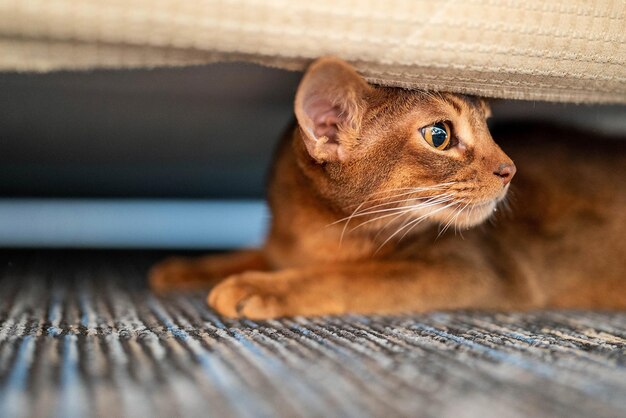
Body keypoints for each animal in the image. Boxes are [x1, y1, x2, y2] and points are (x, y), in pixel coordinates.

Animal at [150, 54, 624, 316]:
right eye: (439, 135)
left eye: (489, 126)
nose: (510, 169)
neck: (316, 234)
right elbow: (256, 252)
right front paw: (187, 268)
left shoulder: (473, 270)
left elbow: (346, 278)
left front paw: (261, 286)